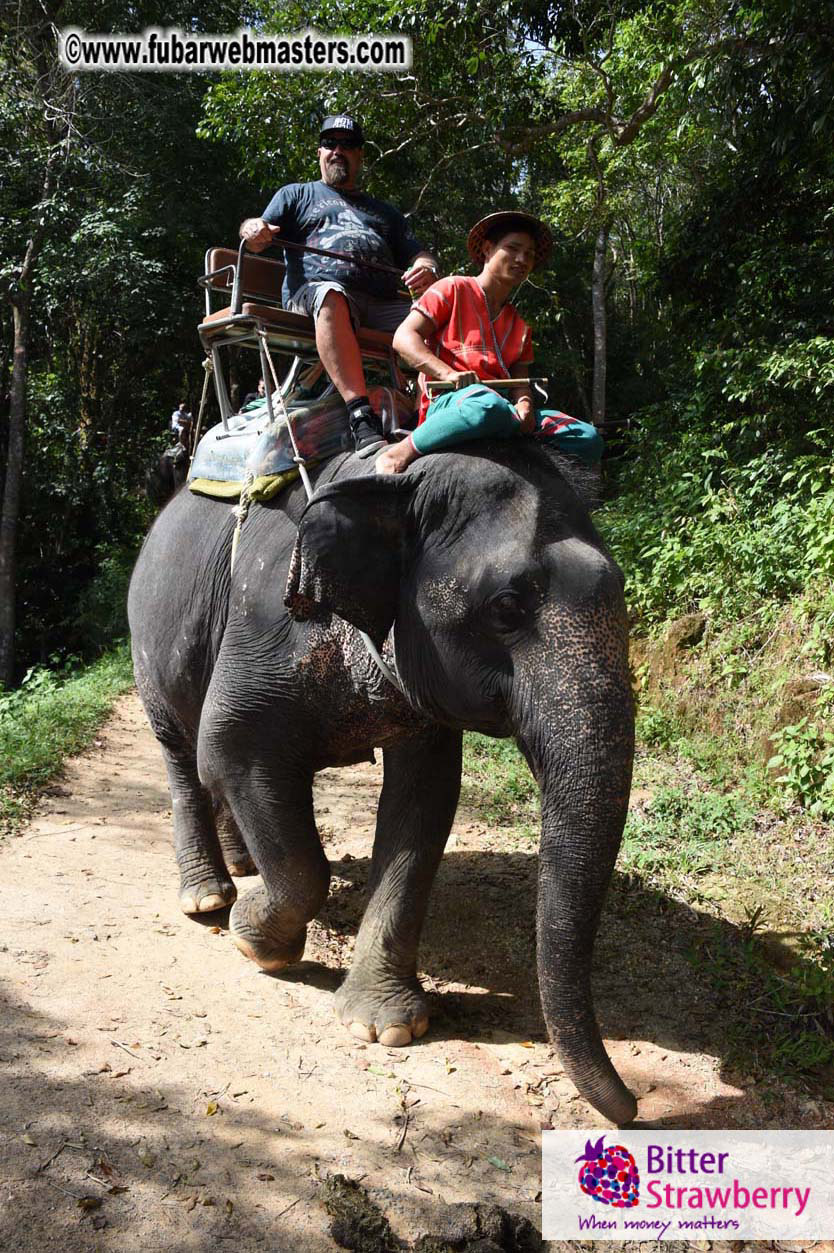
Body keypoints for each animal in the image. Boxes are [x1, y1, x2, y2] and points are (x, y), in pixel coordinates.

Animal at [127, 438, 637, 1125]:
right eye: (506, 607)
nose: (633, 1107)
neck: (390, 485)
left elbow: (424, 800)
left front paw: (386, 1026)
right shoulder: (265, 624)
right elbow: (230, 752)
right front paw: (254, 940)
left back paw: (240, 867)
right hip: (145, 644)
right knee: (183, 755)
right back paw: (209, 899)